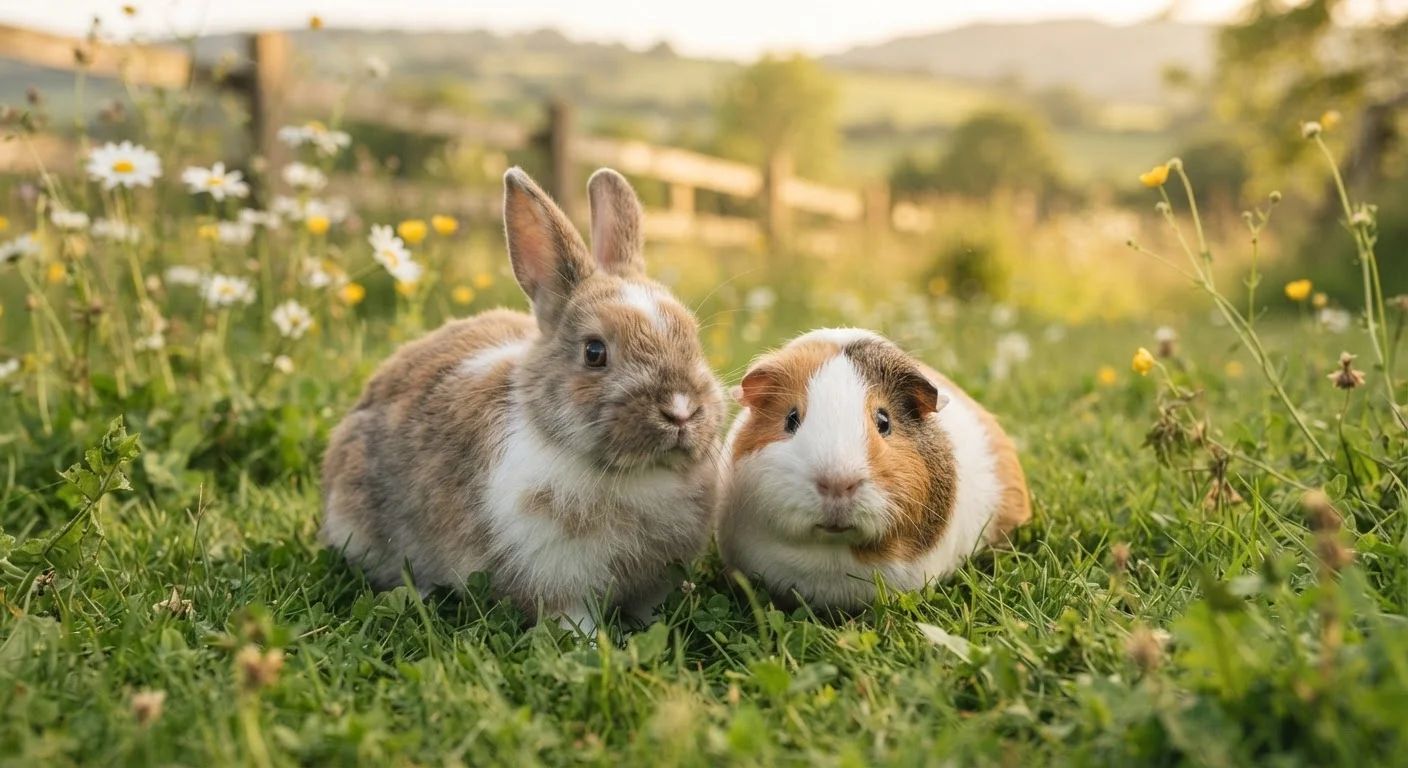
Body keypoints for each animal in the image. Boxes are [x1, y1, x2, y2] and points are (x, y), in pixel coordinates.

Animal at [321, 167, 726, 636]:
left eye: (693, 339)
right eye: (594, 352)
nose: (680, 410)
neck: (637, 475)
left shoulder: (656, 581)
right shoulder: (556, 581)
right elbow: (571, 621)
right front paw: (592, 645)